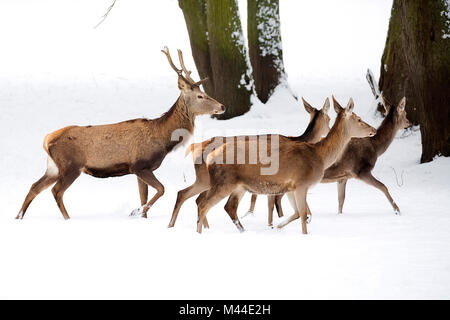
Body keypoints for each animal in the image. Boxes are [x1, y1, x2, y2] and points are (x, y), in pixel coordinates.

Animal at [17, 47, 225, 220]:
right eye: (200, 96)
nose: (222, 106)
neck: (162, 138)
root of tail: (46, 141)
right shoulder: (139, 165)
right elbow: (161, 189)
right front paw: (136, 211)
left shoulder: (140, 170)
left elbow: (144, 195)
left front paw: (142, 215)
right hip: (71, 165)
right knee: (56, 191)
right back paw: (67, 219)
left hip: (53, 166)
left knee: (35, 186)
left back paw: (18, 216)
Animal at [165, 97, 330, 228]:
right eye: (329, 119)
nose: (328, 131)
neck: (297, 139)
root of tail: (195, 147)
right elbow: (274, 203)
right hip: (208, 179)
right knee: (194, 198)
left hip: (207, 180)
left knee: (189, 195)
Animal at [197, 96, 376, 234]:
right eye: (359, 119)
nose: (373, 129)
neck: (319, 155)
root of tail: (210, 156)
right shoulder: (302, 183)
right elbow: (302, 214)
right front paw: (304, 233)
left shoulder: (290, 187)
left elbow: (296, 213)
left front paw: (277, 226)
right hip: (224, 182)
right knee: (203, 204)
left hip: (239, 186)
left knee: (227, 207)